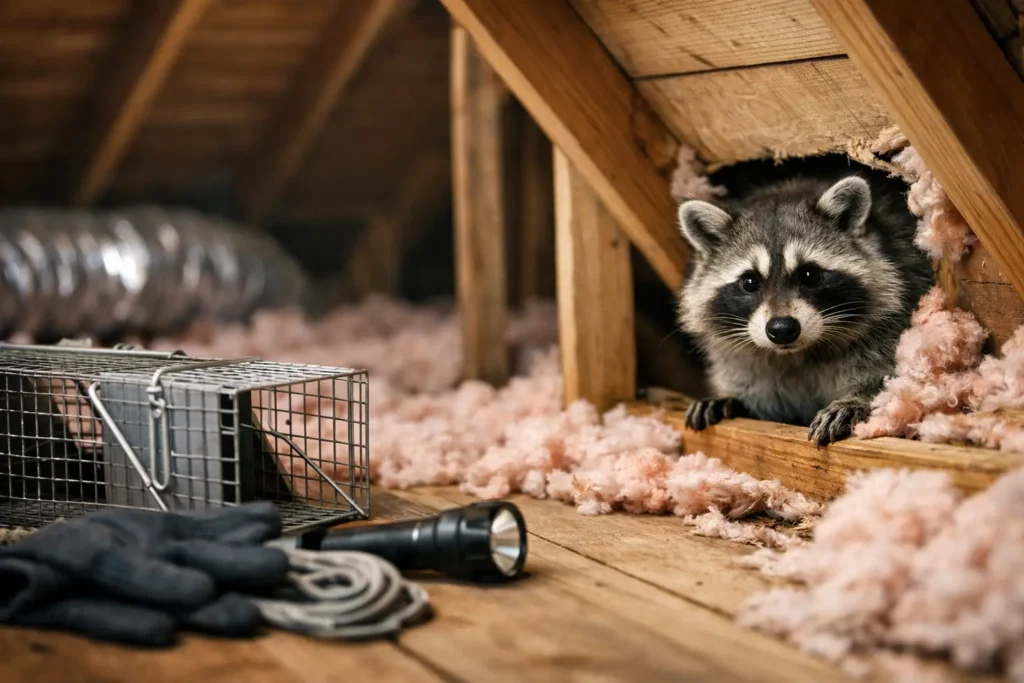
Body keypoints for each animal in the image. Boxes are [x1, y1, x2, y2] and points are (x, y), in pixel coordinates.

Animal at [676, 171, 934, 446]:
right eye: (749, 282)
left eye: (809, 274)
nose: (782, 329)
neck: (798, 354)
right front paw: (733, 400)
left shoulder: (888, 331)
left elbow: (890, 383)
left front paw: (857, 398)